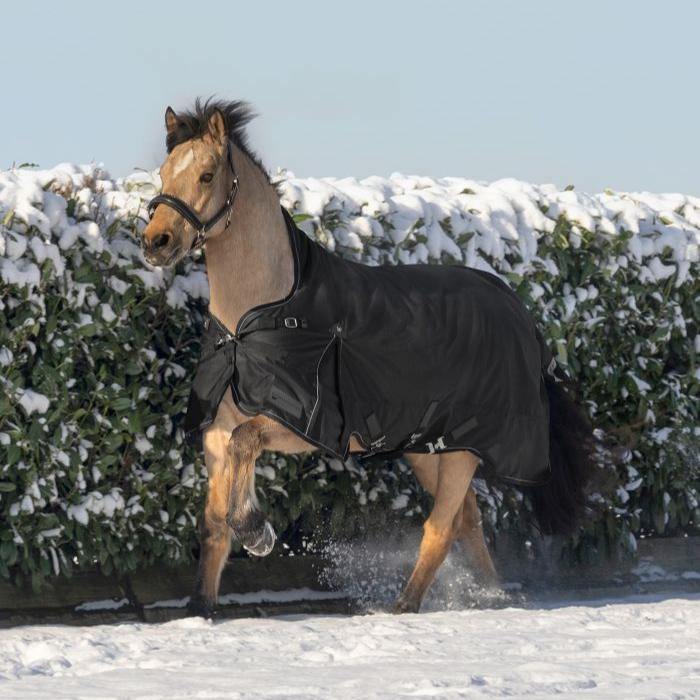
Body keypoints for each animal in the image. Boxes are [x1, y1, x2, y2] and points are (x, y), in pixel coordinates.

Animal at [142, 97, 596, 612]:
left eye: (206, 175)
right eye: (163, 173)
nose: (156, 242)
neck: (254, 319)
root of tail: (519, 312)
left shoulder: (299, 426)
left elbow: (245, 447)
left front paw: (257, 532)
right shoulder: (216, 429)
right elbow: (214, 522)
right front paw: (200, 608)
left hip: (464, 450)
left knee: (441, 528)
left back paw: (405, 606)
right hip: (429, 448)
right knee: (468, 522)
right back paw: (491, 596)